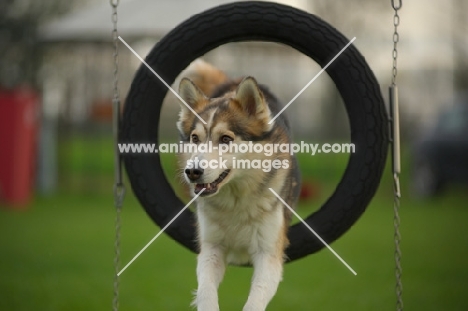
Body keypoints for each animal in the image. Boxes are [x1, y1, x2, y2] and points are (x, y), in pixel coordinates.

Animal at [176, 59, 300, 310]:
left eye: (226, 139)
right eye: (195, 138)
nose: (193, 172)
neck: (235, 198)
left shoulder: (268, 253)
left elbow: (256, 298)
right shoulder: (211, 248)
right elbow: (205, 291)